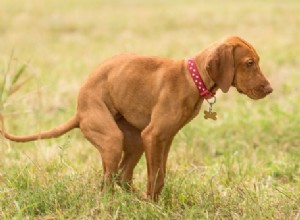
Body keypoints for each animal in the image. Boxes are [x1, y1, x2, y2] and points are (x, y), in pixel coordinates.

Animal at [0, 36, 272, 201]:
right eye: (249, 63)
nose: (270, 90)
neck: (191, 78)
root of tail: (79, 111)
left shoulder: (163, 139)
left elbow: (160, 175)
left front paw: (155, 205)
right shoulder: (153, 136)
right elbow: (155, 177)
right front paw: (153, 206)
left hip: (134, 140)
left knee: (121, 177)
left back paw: (133, 201)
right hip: (111, 139)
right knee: (106, 185)